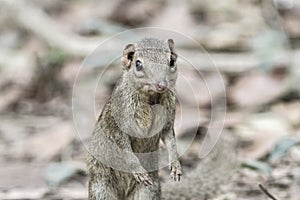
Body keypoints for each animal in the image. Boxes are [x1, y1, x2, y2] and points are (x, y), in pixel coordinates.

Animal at [85, 38, 236, 200]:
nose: (161, 84)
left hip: (148, 192)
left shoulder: (168, 121)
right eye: (138, 64)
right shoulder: (119, 123)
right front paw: (138, 170)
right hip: (101, 188)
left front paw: (176, 166)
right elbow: (124, 147)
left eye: (171, 61)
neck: (151, 98)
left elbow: (171, 141)